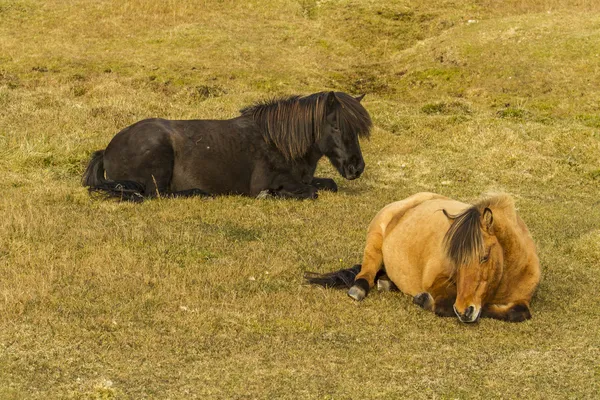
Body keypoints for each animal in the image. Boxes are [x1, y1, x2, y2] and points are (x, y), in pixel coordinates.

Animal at [79, 92, 370, 202]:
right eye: (336, 126)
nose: (357, 168)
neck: (279, 144)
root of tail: (107, 150)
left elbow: (327, 185)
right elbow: (310, 192)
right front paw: (269, 195)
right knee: (157, 195)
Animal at [308, 192, 540, 324]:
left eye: (484, 257)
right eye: (456, 260)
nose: (464, 310)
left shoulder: (523, 299)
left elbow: (519, 312)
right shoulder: (437, 284)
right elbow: (444, 305)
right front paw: (424, 300)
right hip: (375, 238)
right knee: (367, 270)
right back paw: (359, 288)